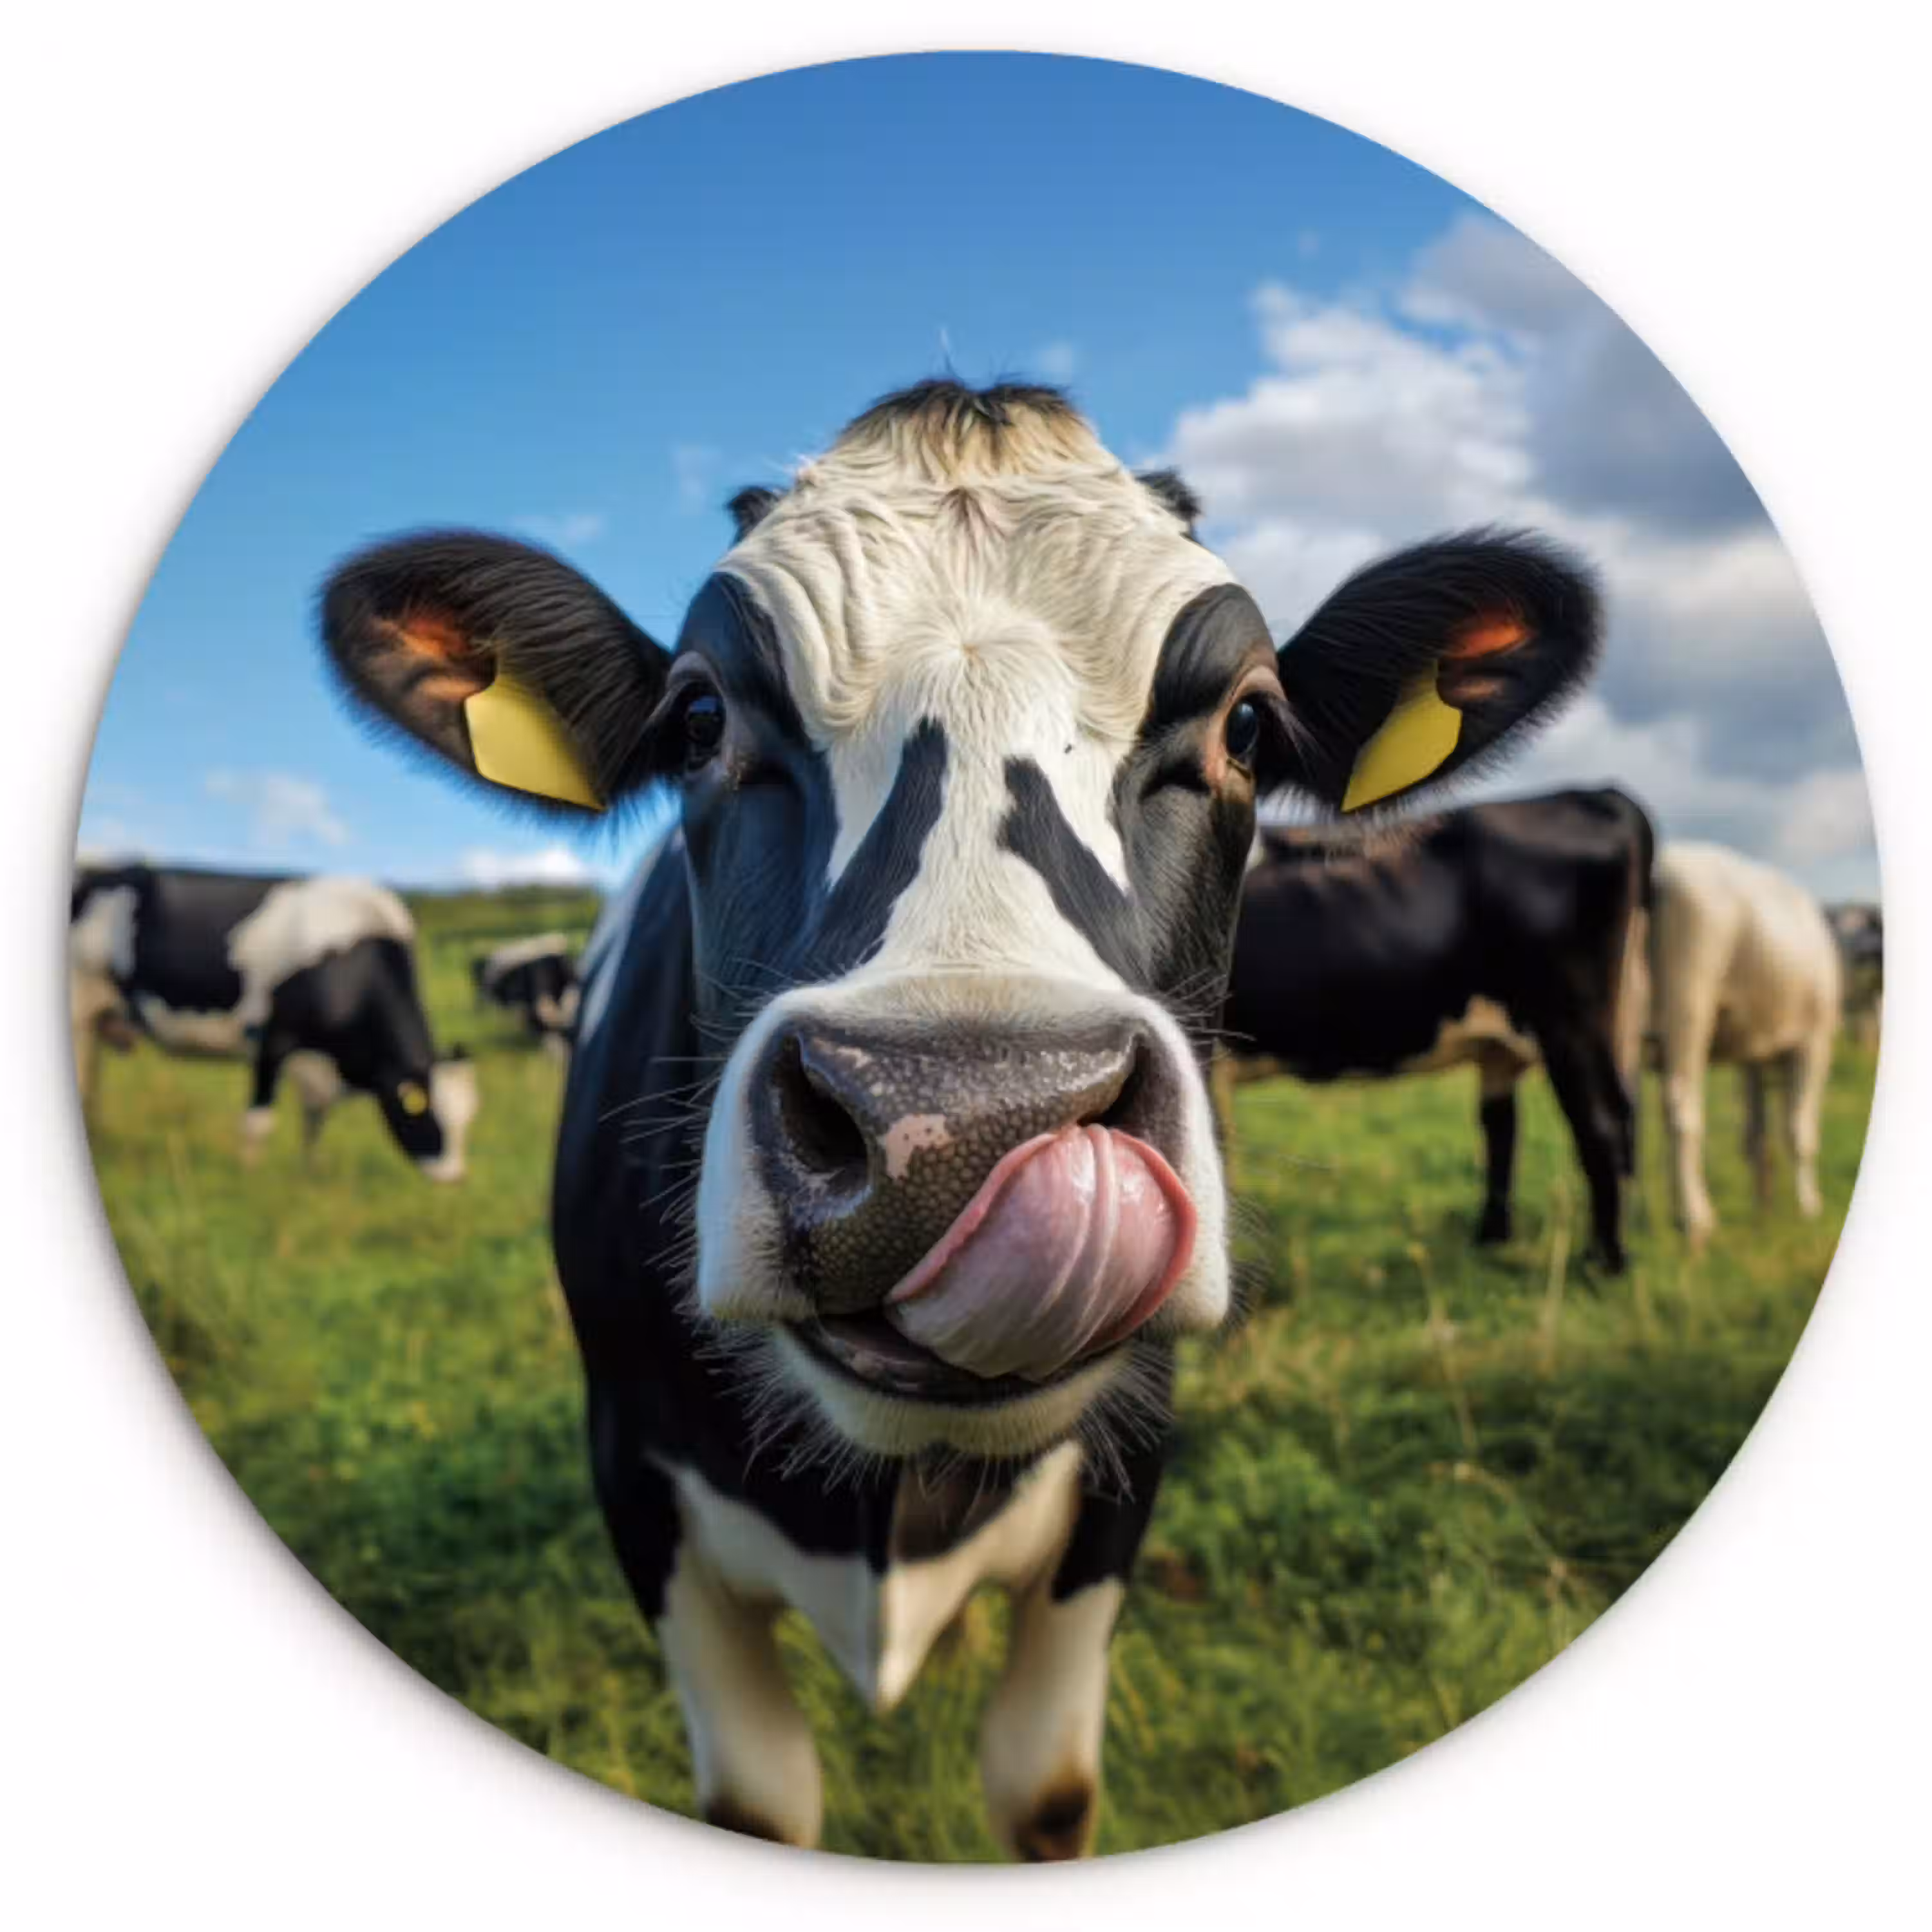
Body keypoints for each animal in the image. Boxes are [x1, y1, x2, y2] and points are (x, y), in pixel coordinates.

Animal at [69, 862, 479, 1181]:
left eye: (468, 1119)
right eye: (425, 1112)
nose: (454, 1177)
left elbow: (314, 1122)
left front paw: (309, 1174)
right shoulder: (273, 1040)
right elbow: (259, 1122)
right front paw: (249, 1177)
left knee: (91, 1081)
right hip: (79, 1003)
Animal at [1217, 787, 1654, 1272]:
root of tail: (1595, 794)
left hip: (1570, 1021)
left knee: (1601, 1125)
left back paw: (1603, 1263)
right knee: (1511, 1127)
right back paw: (1495, 1240)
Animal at [1647, 842, 1841, 1248]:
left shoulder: (1753, 1054)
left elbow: (1756, 1135)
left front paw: (1763, 1208)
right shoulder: (1815, 1043)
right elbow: (1800, 1131)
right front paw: (1808, 1207)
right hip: (1688, 1001)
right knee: (1681, 1106)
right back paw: (1695, 1219)